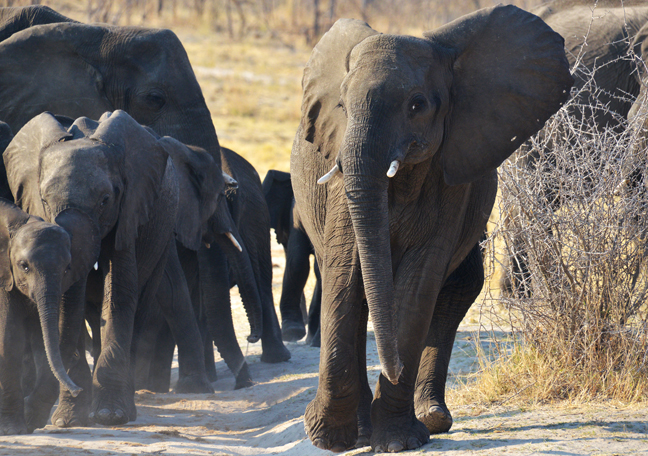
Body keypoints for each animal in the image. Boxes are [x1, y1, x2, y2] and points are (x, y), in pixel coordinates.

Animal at [0, 200, 97, 434]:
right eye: (23, 266)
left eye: (67, 268)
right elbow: (9, 338)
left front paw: (30, 420)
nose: (77, 390)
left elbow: (48, 339)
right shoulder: (5, 276)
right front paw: (12, 430)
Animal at [290, 6, 572, 452]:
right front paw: (328, 439)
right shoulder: (337, 181)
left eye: (417, 105)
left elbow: (418, 281)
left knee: (458, 287)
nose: (390, 368)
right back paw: (364, 430)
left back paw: (431, 420)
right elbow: (345, 271)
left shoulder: (450, 176)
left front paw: (397, 442)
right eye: (342, 104)